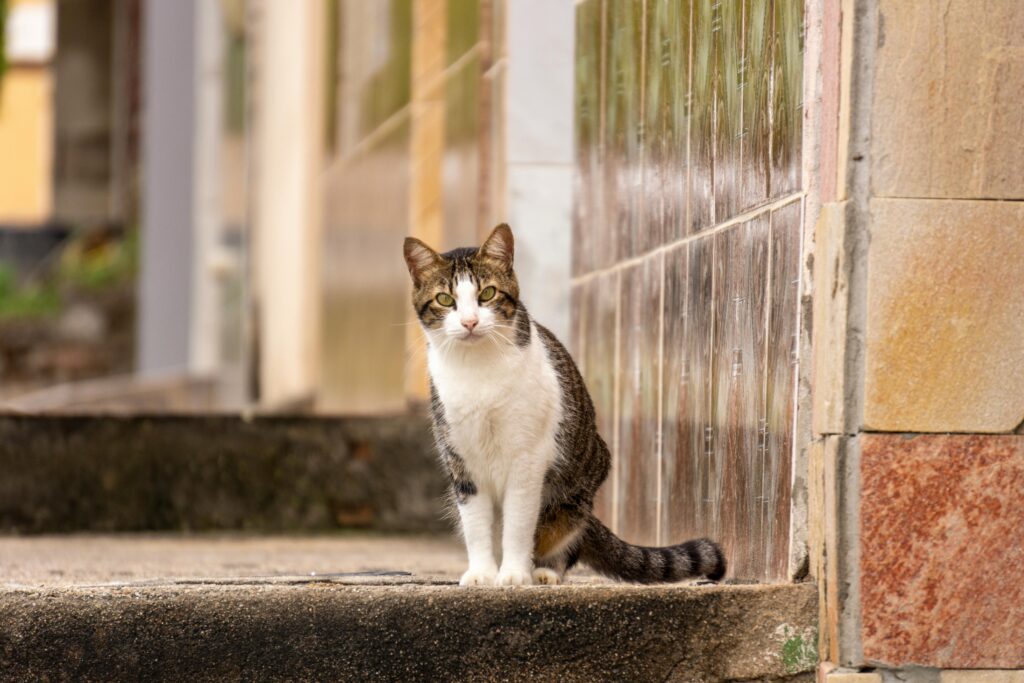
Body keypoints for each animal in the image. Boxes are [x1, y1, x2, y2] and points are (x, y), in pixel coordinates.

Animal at [403, 225, 724, 589]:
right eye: (445, 299)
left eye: (487, 294)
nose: (470, 322)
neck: (477, 369)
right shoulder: (461, 460)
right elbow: (476, 525)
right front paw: (483, 574)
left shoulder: (527, 457)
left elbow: (518, 523)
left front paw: (513, 574)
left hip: (571, 497)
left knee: (560, 538)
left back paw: (543, 571)